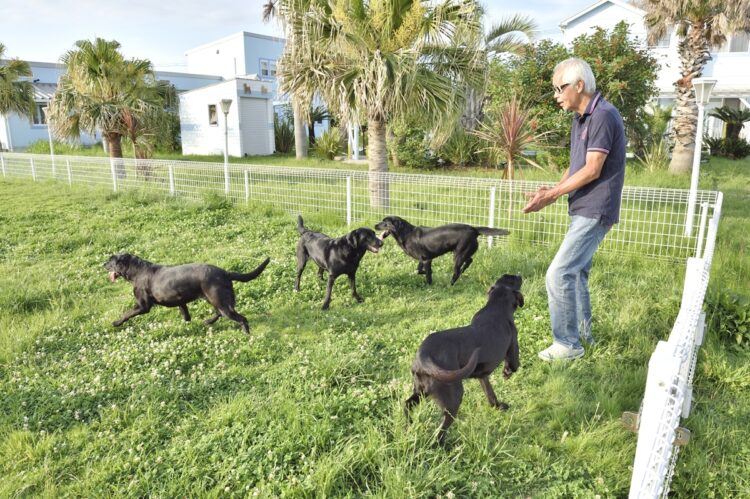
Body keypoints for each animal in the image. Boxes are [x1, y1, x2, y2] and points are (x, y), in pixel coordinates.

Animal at [104, 254, 270, 336]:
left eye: (111, 260)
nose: (102, 264)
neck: (137, 271)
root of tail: (225, 272)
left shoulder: (143, 306)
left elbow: (127, 313)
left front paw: (116, 323)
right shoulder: (180, 302)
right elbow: (186, 317)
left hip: (219, 300)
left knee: (241, 318)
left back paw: (247, 335)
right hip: (215, 299)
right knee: (220, 313)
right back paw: (208, 321)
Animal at [376, 215, 512, 286]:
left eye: (384, 223)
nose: (374, 225)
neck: (406, 233)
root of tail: (474, 229)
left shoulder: (426, 259)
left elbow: (428, 274)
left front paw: (429, 284)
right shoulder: (423, 259)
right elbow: (419, 270)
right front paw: (424, 273)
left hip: (459, 254)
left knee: (456, 271)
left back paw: (450, 284)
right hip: (463, 251)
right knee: (469, 261)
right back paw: (462, 271)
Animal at [406, 274, 524, 446]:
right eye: (513, 280)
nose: (519, 275)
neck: (496, 306)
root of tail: (424, 355)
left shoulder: (482, 376)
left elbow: (490, 394)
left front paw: (497, 407)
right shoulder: (513, 346)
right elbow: (513, 365)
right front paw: (506, 373)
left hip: (421, 391)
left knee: (406, 405)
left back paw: (408, 426)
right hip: (453, 398)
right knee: (439, 433)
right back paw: (445, 446)